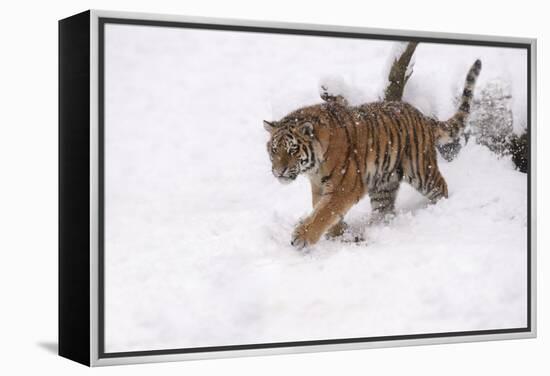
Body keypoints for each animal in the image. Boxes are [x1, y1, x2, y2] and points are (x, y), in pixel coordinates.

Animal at [264, 58, 484, 248]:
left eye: (293, 149)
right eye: (274, 150)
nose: (279, 171)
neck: (314, 167)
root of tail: (423, 116)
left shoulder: (345, 186)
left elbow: (325, 212)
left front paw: (302, 236)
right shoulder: (319, 186)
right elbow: (321, 208)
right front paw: (341, 232)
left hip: (421, 171)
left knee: (441, 187)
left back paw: (438, 208)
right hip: (384, 184)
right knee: (384, 210)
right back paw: (377, 229)